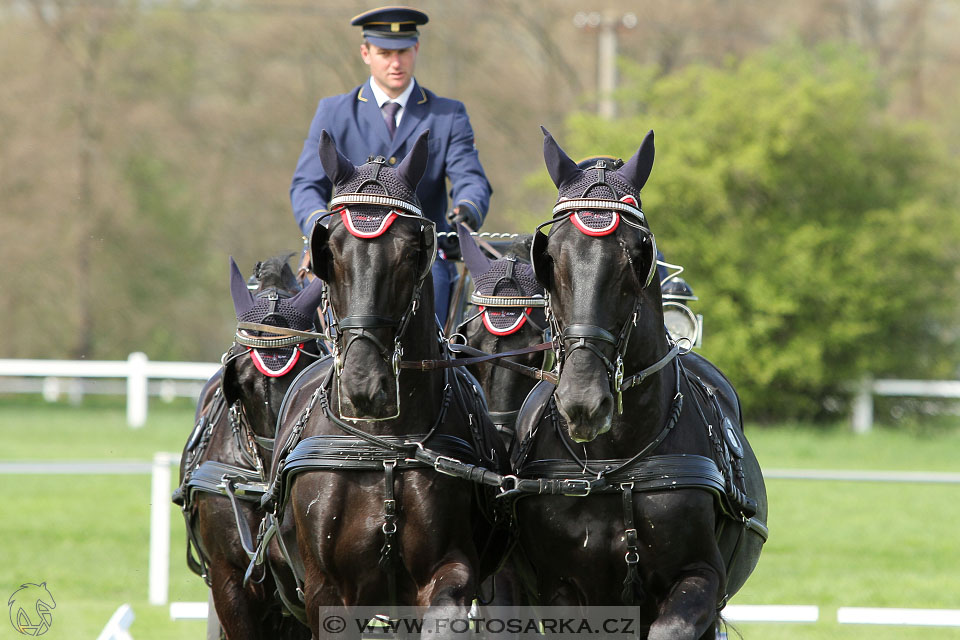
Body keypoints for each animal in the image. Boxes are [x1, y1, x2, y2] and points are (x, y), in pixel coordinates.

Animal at [258, 130, 506, 636]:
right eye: (329, 250)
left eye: (413, 251)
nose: (364, 385)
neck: (383, 447)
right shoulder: (326, 590)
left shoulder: (449, 570)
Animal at [510, 130, 772, 640]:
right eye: (549, 256)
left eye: (637, 253)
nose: (584, 402)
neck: (613, 465)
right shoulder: (561, 590)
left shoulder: (701, 578)